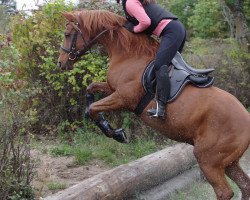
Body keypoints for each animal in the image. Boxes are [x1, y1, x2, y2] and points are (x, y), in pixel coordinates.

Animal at [57, 10, 250, 200]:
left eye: (67, 34)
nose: (61, 63)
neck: (129, 55)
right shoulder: (112, 88)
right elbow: (91, 89)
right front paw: (111, 128)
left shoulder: (123, 98)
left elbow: (93, 108)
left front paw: (116, 133)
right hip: (228, 162)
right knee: (245, 186)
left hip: (208, 159)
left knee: (224, 192)